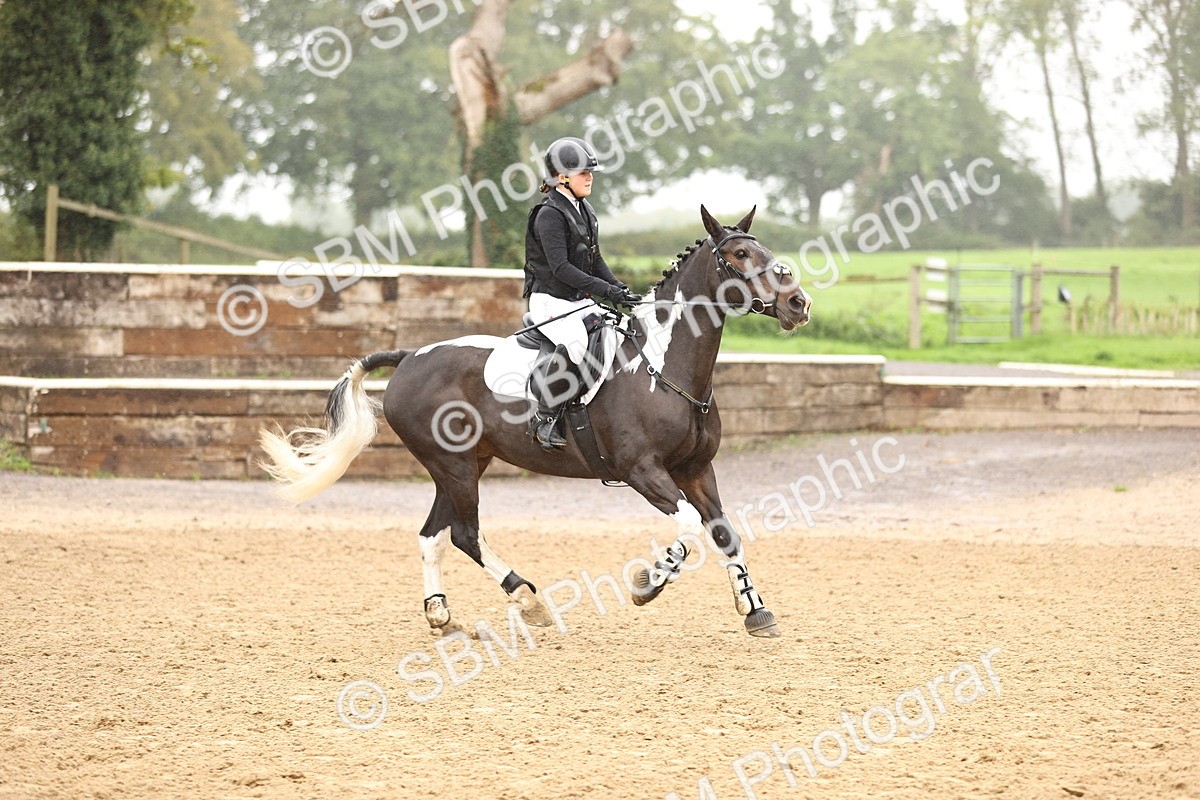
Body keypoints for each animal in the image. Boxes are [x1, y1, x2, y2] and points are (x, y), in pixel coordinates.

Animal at [260, 205, 812, 638]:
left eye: (762, 249)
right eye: (738, 256)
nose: (798, 303)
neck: (663, 364)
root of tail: (411, 356)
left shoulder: (696, 469)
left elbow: (723, 532)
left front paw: (754, 609)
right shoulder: (642, 471)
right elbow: (690, 526)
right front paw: (647, 585)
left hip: (463, 466)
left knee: (433, 534)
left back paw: (441, 615)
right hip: (454, 467)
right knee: (463, 534)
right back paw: (527, 598)